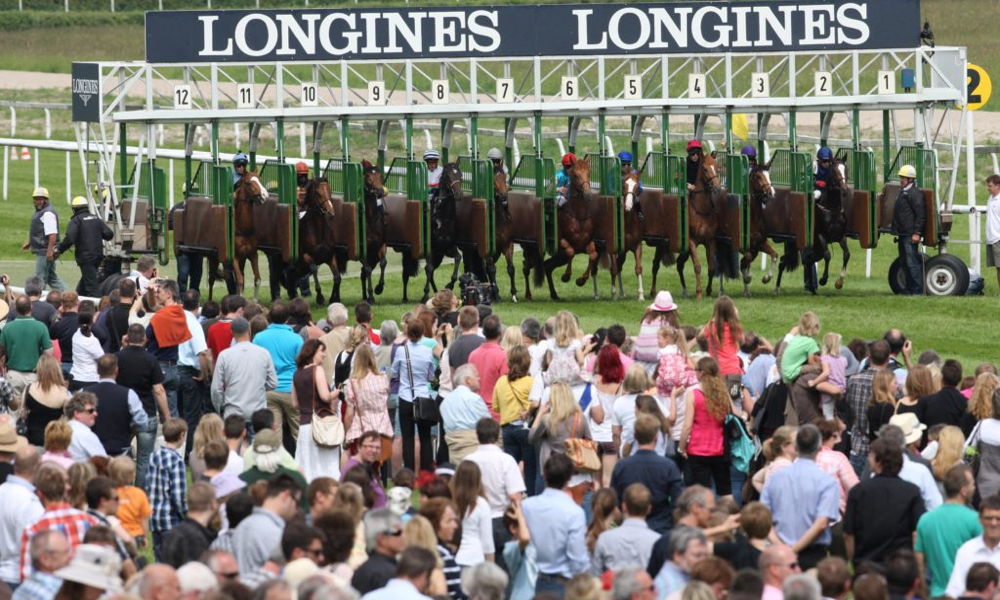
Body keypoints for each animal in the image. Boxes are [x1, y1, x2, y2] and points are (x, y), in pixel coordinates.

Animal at [207, 169, 266, 300]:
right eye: (248, 183)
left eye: (260, 179)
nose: (264, 196)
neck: (243, 229)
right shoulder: (234, 257)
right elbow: (239, 280)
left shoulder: (252, 255)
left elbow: (257, 279)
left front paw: (255, 300)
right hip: (214, 258)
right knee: (212, 279)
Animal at [536, 156, 596, 298]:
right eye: (576, 175)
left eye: (588, 172)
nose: (587, 193)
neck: (578, 216)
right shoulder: (561, 241)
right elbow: (571, 251)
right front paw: (566, 276)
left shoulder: (587, 242)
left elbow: (593, 254)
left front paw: (581, 280)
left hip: (559, 257)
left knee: (547, 266)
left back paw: (554, 294)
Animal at [740, 163, 784, 296]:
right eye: (758, 176)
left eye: (769, 175)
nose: (770, 193)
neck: (752, 219)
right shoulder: (743, 246)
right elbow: (747, 259)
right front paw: (748, 277)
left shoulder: (759, 244)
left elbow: (774, 255)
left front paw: (766, 278)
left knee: (742, 264)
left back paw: (747, 292)